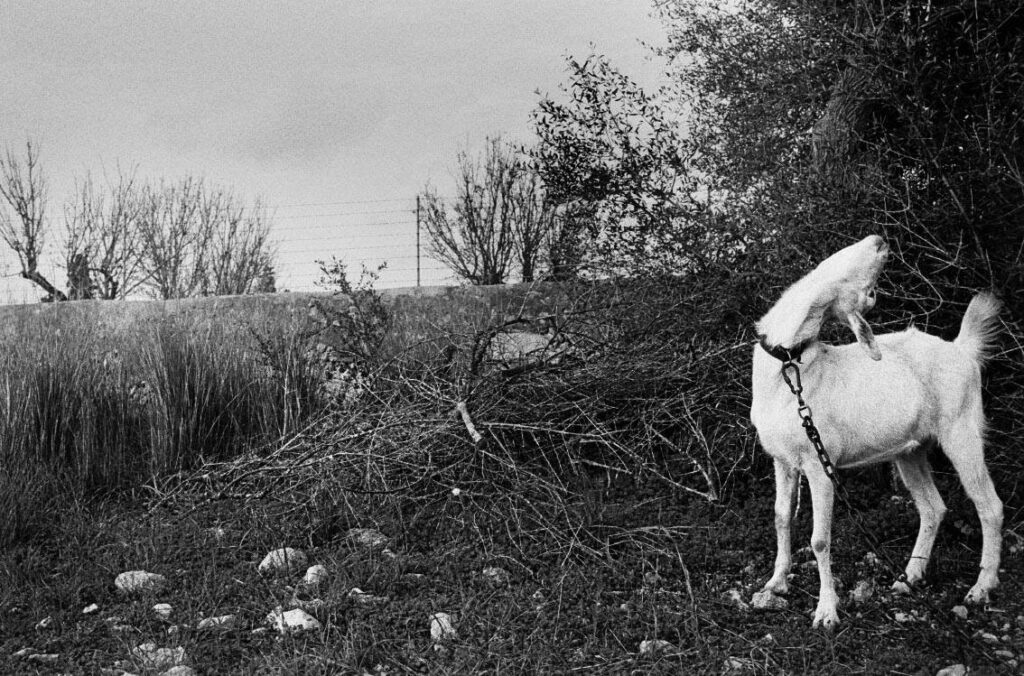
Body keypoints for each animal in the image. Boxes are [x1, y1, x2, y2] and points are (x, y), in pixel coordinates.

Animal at [749, 236, 1003, 626]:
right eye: (867, 292)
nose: (880, 241)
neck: (790, 369)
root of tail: (962, 350)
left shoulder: (819, 462)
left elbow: (820, 539)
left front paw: (826, 612)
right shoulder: (782, 460)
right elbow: (780, 518)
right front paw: (775, 583)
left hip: (962, 432)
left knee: (989, 506)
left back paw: (981, 588)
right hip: (910, 451)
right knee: (933, 507)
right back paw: (909, 578)